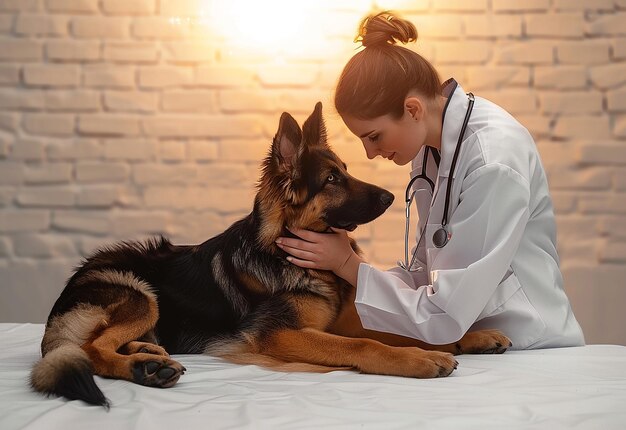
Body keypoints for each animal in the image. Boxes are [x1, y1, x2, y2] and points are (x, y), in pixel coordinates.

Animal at [30, 102, 508, 408]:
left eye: (345, 170)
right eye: (332, 179)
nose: (392, 196)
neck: (285, 254)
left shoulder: (344, 320)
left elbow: (407, 328)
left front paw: (471, 337)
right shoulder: (278, 334)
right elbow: (366, 343)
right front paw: (418, 359)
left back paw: (148, 355)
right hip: (141, 293)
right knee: (90, 349)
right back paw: (143, 369)